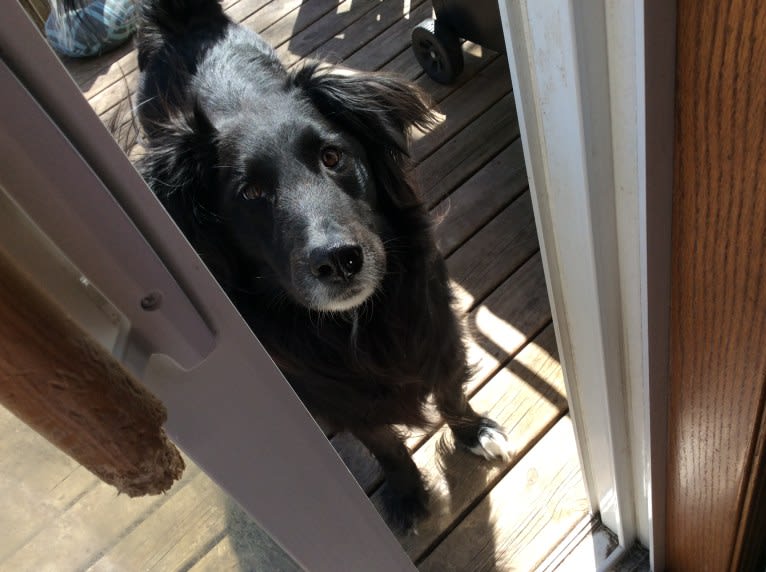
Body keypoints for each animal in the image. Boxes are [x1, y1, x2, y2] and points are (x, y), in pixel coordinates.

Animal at [91, 0, 510, 528]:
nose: (338, 261)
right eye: (250, 193)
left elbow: (452, 392)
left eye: (333, 157)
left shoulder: (439, 333)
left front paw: (475, 432)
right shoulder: (337, 398)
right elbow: (384, 443)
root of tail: (181, 22)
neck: (358, 325)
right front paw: (407, 492)